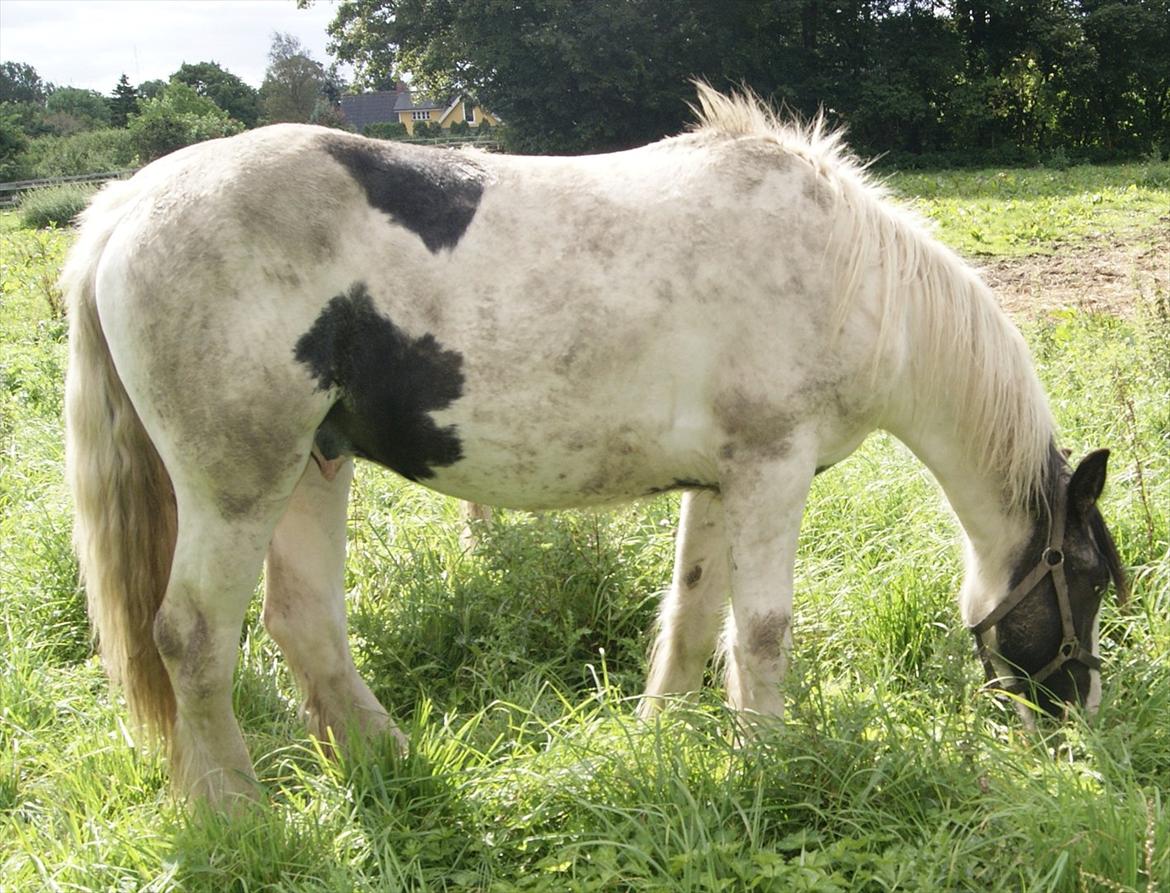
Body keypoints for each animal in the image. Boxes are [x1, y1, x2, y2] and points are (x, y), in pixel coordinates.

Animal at [61, 87, 1123, 805]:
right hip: (239, 487)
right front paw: (772, 764)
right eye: (1089, 579)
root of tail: (126, 206)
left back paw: (390, 761)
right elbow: (762, 629)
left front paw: (663, 736)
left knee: (304, 621)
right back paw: (239, 808)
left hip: (313, 467)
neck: (850, 278)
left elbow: (693, 616)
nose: (1082, 715)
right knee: (191, 636)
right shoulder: (773, 473)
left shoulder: (723, 483)